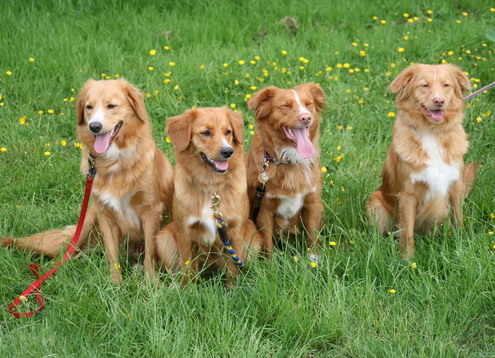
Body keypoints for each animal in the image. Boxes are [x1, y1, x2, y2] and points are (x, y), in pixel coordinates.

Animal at [0, 78, 175, 282]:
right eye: (89, 107)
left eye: (111, 106)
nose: (94, 126)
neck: (114, 161)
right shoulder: (104, 213)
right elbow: (112, 255)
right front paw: (115, 284)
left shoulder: (151, 211)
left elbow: (149, 254)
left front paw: (151, 283)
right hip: (86, 221)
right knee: (69, 251)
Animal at [157, 106, 262, 286]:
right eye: (206, 132)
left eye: (228, 132)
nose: (228, 151)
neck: (211, 185)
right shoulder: (185, 231)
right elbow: (188, 270)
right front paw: (188, 290)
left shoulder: (234, 231)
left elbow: (233, 270)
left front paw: (233, 289)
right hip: (164, 239)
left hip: (253, 239)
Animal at [246, 83, 328, 258]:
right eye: (285, 106)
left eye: (308, 104)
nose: (306, 117)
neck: (289, 160)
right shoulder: (264, 208)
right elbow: (267, 243)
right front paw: (269, 263)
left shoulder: (312, 202)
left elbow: (312, 235)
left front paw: (313, 258)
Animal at [368, 64, 476, 258]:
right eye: (424, 85)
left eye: (446, 85)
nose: (439, 101)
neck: (432, 132)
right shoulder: (407, 194)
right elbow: (408, 232)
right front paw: (408, 260)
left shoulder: (456, 185)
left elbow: (458, 220)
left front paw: (461, 247)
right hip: (375, 202)